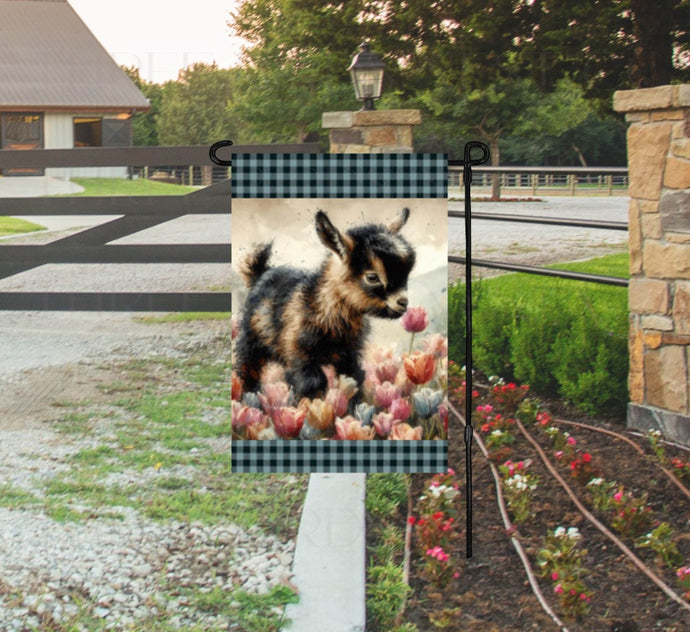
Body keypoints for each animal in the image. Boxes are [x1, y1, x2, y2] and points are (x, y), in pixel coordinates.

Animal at [234, 210, 414, 402]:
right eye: (372, 277)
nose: (403, 302)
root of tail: (259, 273)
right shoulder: (300, 353)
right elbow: (312, 383)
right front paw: (312, 406)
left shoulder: (349, 354)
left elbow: (352, 379)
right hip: (251, 340)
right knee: (247, 368)